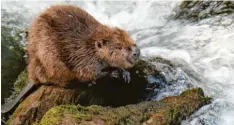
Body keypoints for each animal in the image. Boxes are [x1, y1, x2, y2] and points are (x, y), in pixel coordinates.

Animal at [1, 4, 140, 113]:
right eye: (119, 47)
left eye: (130, 41)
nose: (136, 52)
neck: (91, 46)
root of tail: (32, 77)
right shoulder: (82, 57)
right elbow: (88, 73)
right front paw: (114, 72)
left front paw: (125, 74)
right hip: (50, 61)